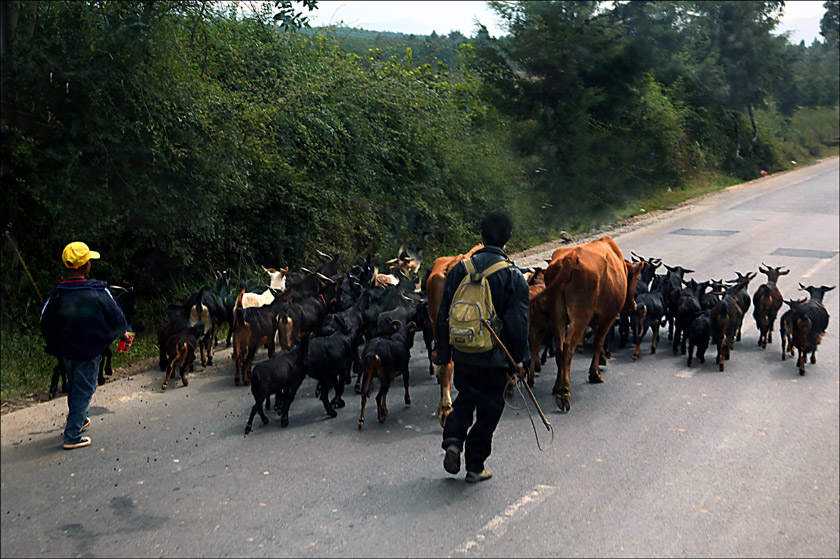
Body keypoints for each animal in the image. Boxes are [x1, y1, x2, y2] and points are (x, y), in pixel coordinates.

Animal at [540, 236, 640, 412]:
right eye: (637, 278)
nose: (633, 305)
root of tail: (571, 258)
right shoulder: (609, 316)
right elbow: (598, 341)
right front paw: (595, 373)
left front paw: (602, 360)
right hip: (581, 314)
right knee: (568, 346)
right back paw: (564, 393)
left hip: (557, 313)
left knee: (560, 348)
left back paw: (558, 386)